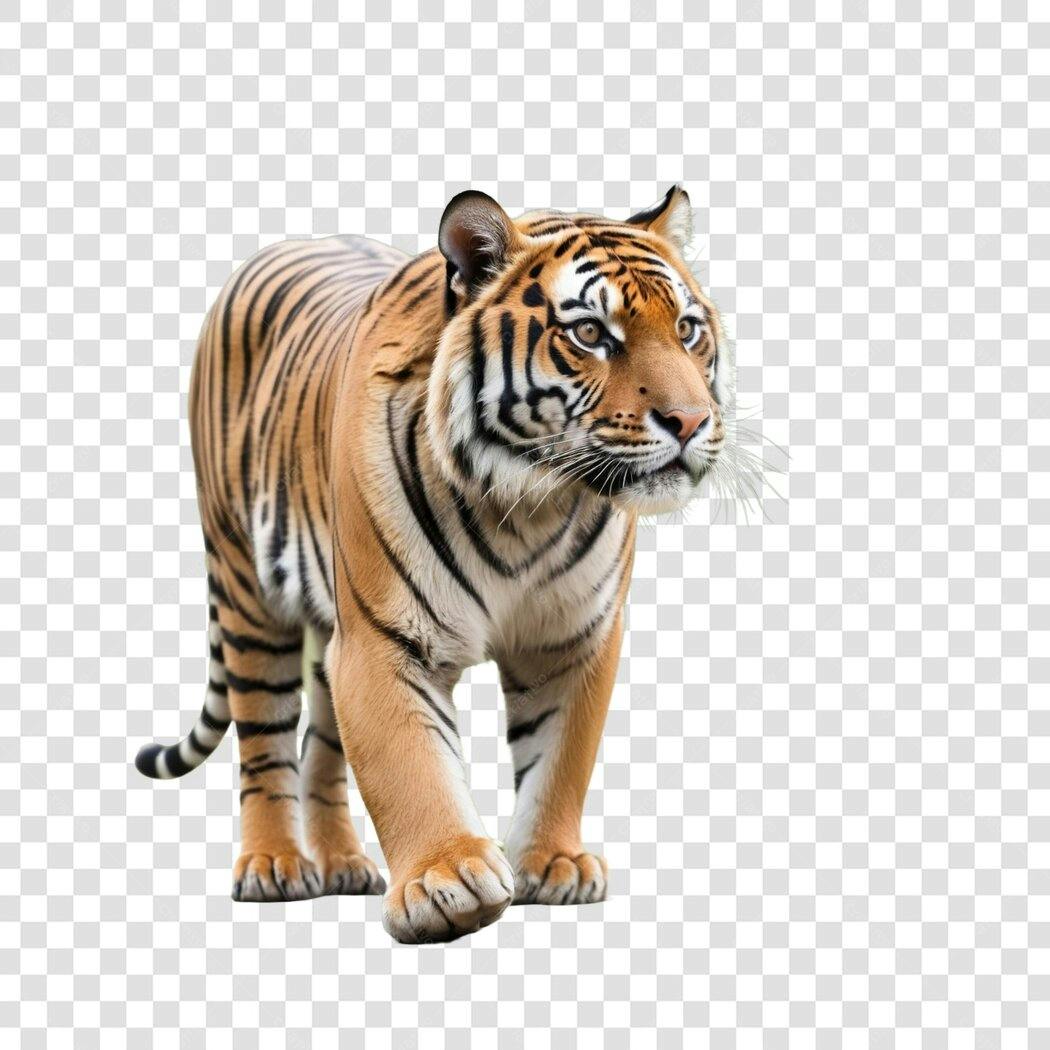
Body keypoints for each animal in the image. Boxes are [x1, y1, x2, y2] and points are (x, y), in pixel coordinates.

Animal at [135, 185, 728, 942]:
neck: (531, 501)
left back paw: (342, 863)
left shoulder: (572, 639)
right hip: (245, 587)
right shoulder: (381, 642)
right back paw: (274, 865)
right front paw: (448, 880)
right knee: (265, 738)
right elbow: (409, 764)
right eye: (592, 334)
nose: (691, 421)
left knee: (322, 744)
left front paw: (554, 863)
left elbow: (561, 757)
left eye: (687, 329)